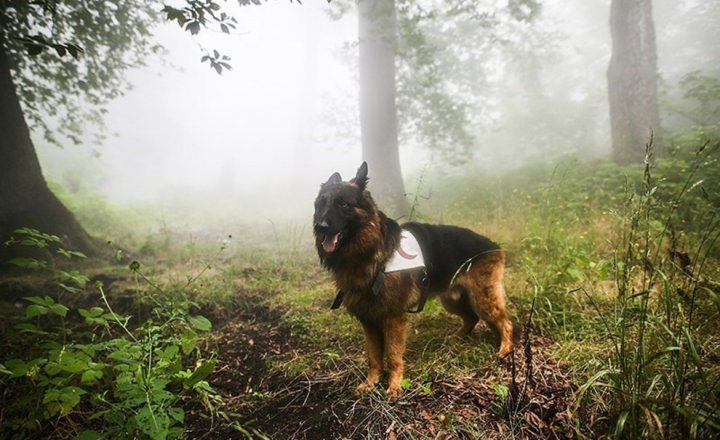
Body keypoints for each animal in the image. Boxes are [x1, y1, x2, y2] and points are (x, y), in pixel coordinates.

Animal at [314, 163, 512, 398]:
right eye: (321, 204)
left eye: (343, 204)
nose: (320, 227)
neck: (372, 251)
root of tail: (493, 245)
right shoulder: (369, 321)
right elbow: (373, 357)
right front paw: (371, 382)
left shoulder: (392, 318)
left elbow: (392, 355)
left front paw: (394, 385)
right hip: (452, 300)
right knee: (471, 318)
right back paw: (457, 337)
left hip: (483, 299)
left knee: (506, 322)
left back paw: (505, 349)